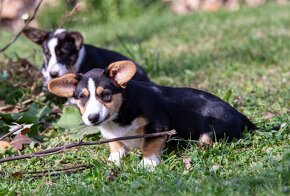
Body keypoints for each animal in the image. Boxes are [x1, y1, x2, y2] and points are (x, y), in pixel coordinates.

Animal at [47, 60, 256, 169]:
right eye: (82, 97)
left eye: (105, 95)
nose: (92, 118)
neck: (118, 116)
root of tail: (240, 115)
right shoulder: (110, 134)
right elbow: (115, 144)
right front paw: (114, 160)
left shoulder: (157, 123)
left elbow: (149, 144)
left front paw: (147, 163)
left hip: (210, 132)